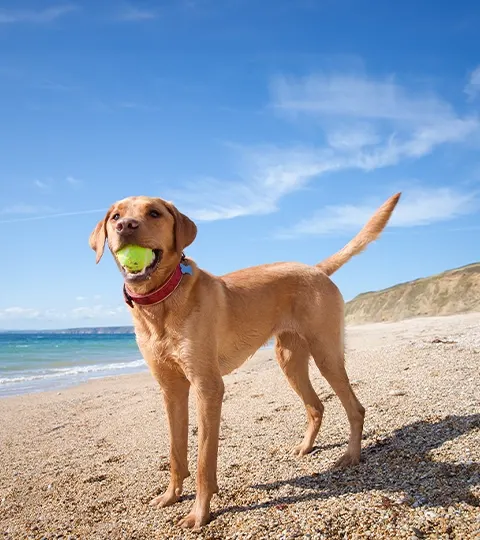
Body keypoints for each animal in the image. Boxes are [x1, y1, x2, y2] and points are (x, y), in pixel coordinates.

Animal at [90, 192, 402, 528]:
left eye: (154, 213)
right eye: (115, 215)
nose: (125, 226)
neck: (161, 301)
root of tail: (316, 269)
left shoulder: (208, 387)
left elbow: (203, 461)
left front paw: (200, 512)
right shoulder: (171, 390)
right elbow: (175, 453)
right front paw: (171, 496)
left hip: (326, 354)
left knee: (355, 408)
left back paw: (351, 456)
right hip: (289, 360)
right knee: (316, 406)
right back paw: (306, 447)